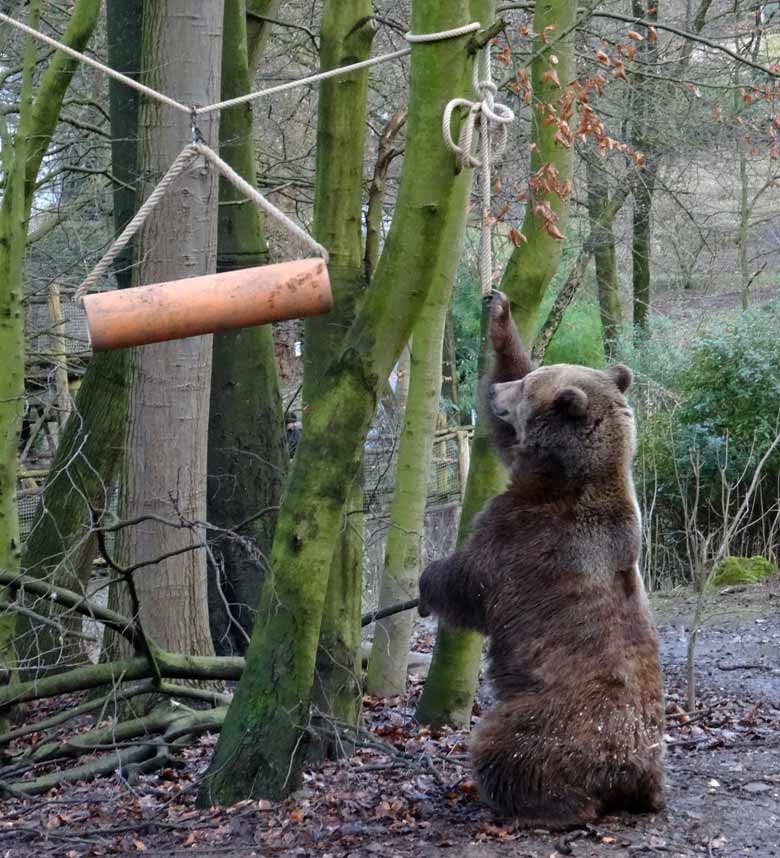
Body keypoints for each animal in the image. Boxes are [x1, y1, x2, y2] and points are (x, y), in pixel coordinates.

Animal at [420, 290, 664, 824]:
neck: (567, 476)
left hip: (544, 716)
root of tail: (630, 776)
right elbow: (506, 444)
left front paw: (426, 585)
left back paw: (525, 802)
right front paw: (499, 313)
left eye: (527, 389)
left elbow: (470, 580)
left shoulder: (528, 537)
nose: (495, 392)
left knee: (503, 745)